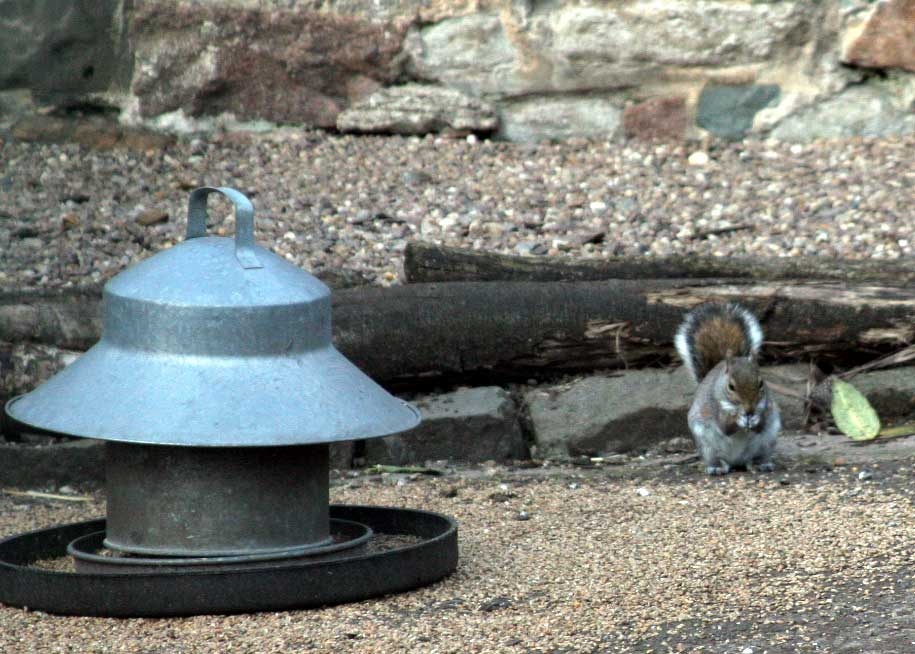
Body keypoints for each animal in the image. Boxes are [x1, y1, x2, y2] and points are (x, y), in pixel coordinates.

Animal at [674, 302, 780, 476]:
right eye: (731, 386)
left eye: (761, 383)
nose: (749, 410)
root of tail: (737, 461)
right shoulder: (715, 407)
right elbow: (725, 426)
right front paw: (739, 418)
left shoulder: (766, 406)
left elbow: (761, 425)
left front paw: (755, 419)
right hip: (707, 444)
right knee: (717, 459)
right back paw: (717, 467)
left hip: (767, 441)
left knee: (755, 457)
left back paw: (759, 464)